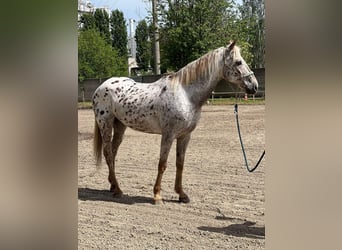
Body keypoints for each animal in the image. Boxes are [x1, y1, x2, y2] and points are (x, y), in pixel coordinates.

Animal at [92, 41, 258, 204]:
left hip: (120, 125)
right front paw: (157, 195)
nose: (254, 86)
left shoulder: (185, 136)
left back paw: (113, 186)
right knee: (108, 153)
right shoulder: (168, 135)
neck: (185, 94)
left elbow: (180, 164)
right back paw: (118, 190)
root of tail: (101, 87)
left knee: (113, 153)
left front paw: (182, 195)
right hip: (105, 124)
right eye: (238, 62)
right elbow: (162, 164)